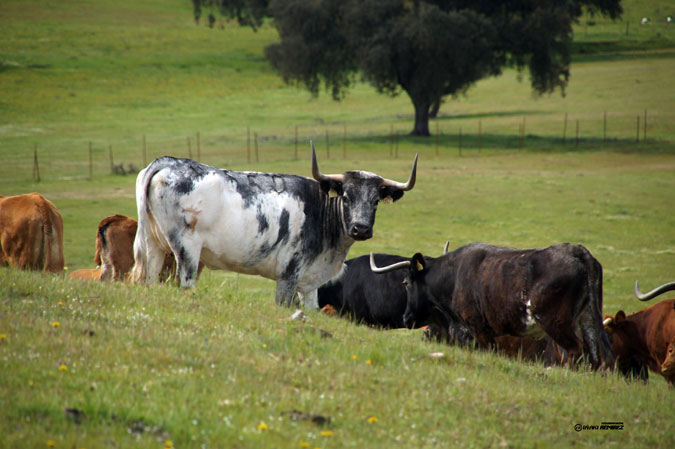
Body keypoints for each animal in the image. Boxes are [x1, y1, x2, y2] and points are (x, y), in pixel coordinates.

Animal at [131, 144, 418, 308]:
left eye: (376, 201)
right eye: (346, 197)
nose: (360, 228)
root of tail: (169, 161)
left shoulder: (309, 285)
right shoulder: (289, 274)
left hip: (154, 245)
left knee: (149, 278)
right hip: (187, 249)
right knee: (185, 281)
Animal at [372, 243, 616, 370]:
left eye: (405, 282)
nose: (405, 318)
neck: (452, 277)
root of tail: (575, 250)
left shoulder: (478, 329)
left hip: (558, 325)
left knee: (575, 351)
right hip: (587, 320)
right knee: (601, 357)